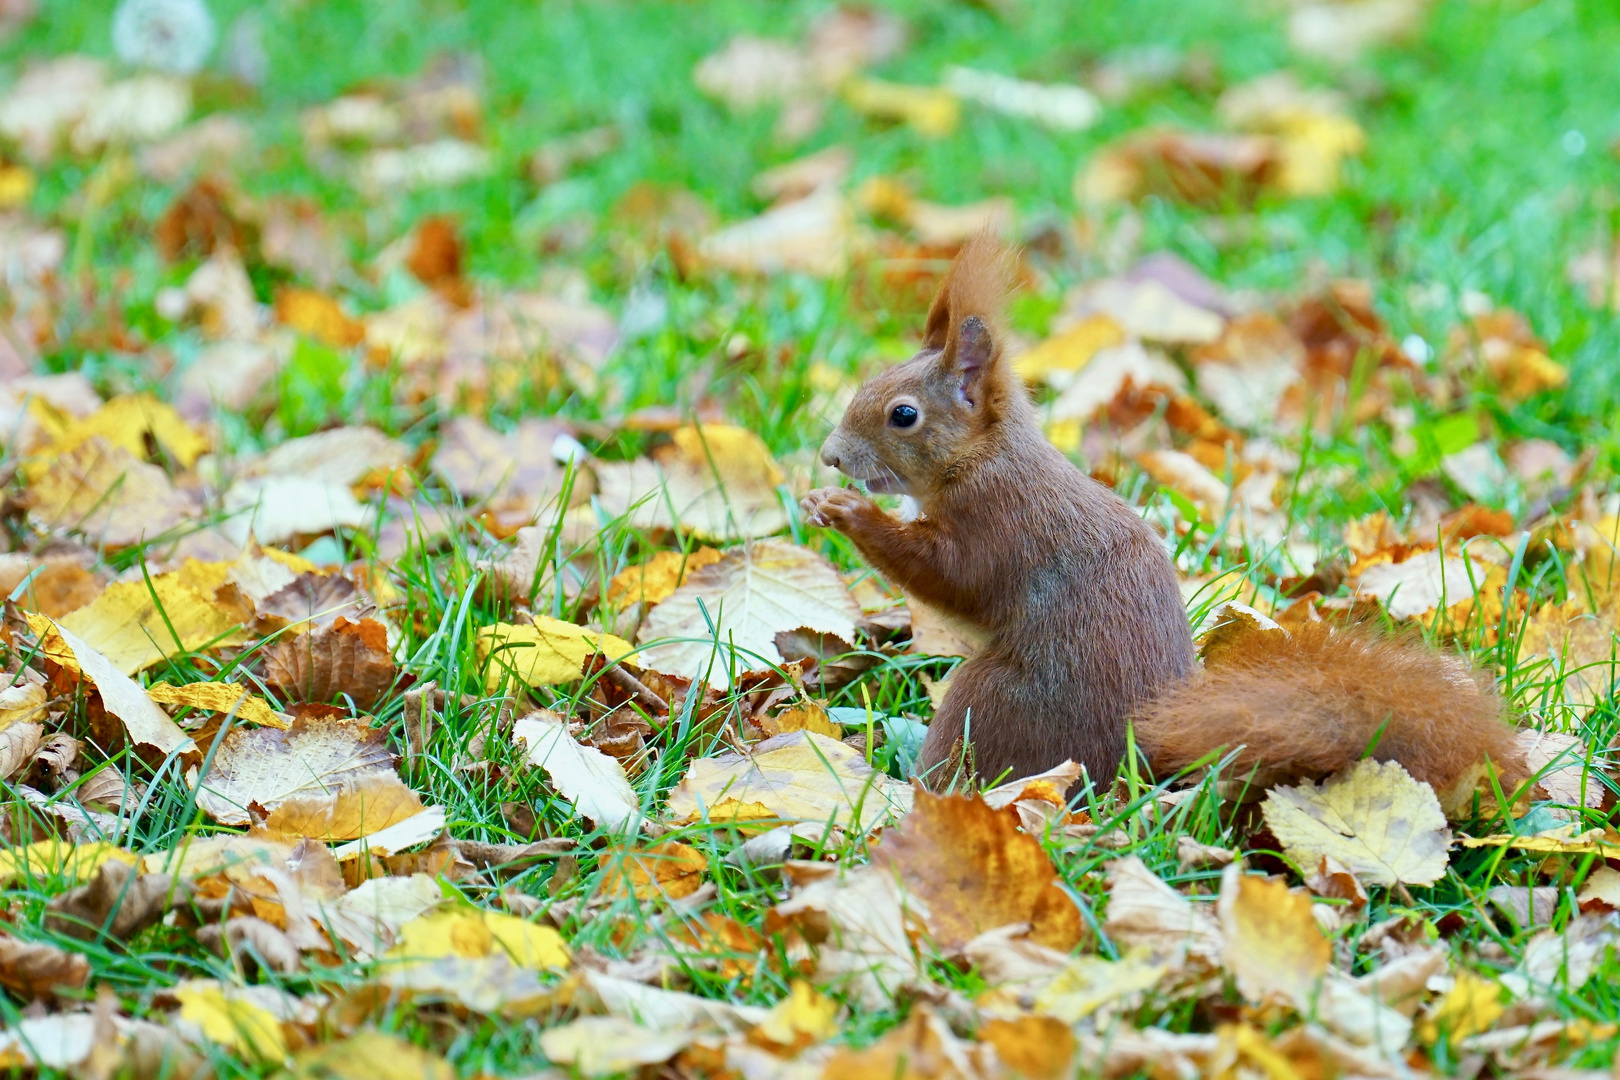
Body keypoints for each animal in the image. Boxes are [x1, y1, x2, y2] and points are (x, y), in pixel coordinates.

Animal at [803, 236, 1522, 790]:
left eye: (903, 414)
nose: (830, 457)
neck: (981, 458)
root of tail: (1139, 763)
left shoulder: (999, 522)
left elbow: (948, 577)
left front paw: (848, 514)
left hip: (992, 703)